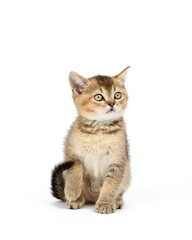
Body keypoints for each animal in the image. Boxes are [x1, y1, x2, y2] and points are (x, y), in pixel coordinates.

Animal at [51, 67, 131, 214]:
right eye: (98, 97)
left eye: (117, 95)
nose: (112, 103)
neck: (99, 129)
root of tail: (92, 198)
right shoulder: (69, 152)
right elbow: (74, 167)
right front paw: (72, 191)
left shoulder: (118, 160)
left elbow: (111, 184)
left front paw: (105, 203)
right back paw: (77, 199)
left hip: (127, 175)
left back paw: (116, 200)